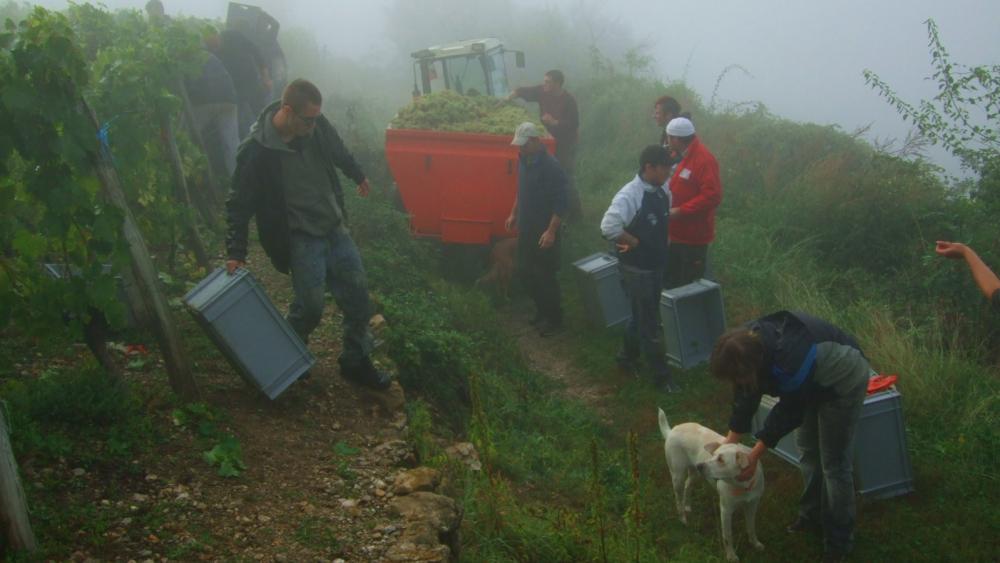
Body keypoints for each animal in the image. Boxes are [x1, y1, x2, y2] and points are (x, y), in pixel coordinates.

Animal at [656, 408, 764, 560]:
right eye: (713, 455)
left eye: (721, 459)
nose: (700, 465)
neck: (743, 486)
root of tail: (672, 430)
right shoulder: (725, 510)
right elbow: (727, 536)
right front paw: (731, 556)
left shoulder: (752, 505)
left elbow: (751, 528)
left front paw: (755, 544)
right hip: (678, 476)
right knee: (678, 498)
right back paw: (682, 518)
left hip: (694, 475)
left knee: (687, 485)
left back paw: (687, 505)